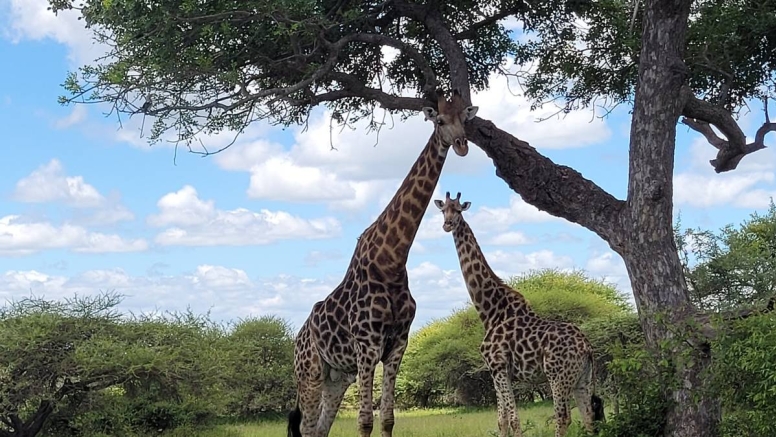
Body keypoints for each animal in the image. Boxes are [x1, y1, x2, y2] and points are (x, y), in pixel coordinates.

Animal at [286, 89, 478, 436]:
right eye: (440, 121)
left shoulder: (397, 345)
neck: (391, 261)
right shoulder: (367, 345)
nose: (461, 145)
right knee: (306, 429)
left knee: (320, 429)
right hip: (309, 374)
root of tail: (297, 340)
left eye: (464, 119)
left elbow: (387, 417)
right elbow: (365, 420)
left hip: (336, 379)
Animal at [434, 192, 604, 436]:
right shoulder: (496, 370)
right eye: (442, 210)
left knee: (563, 417)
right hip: (583, 377)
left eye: (458, 210)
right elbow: (501, 420)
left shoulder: (498, 365)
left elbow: (514, 420)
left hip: (557, 375)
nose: (447, 224)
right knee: (589, 417)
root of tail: (587, 347)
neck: (490, 311)